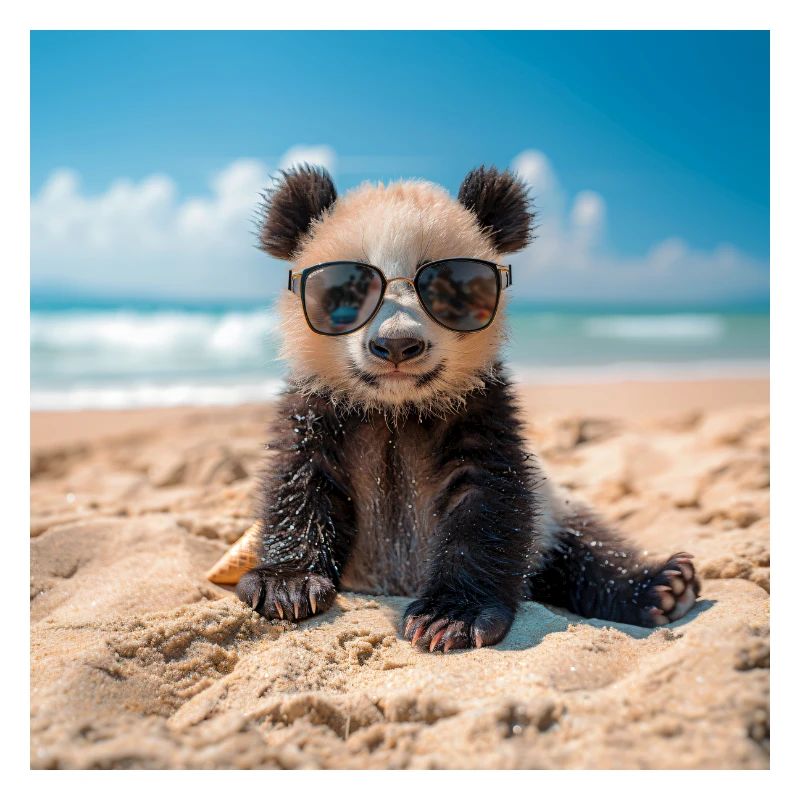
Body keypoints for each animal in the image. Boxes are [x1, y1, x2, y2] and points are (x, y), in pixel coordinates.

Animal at [236, 164, 699, 652]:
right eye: (347, 290)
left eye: (446, 288)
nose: (397, 345)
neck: (395, 409)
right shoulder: (320, 407)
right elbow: (299, 481)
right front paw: (286, 585)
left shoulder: (479, 407)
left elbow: (487, 499)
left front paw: (449, 616)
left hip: (554, 512)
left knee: (587, 549)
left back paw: (664, 585)